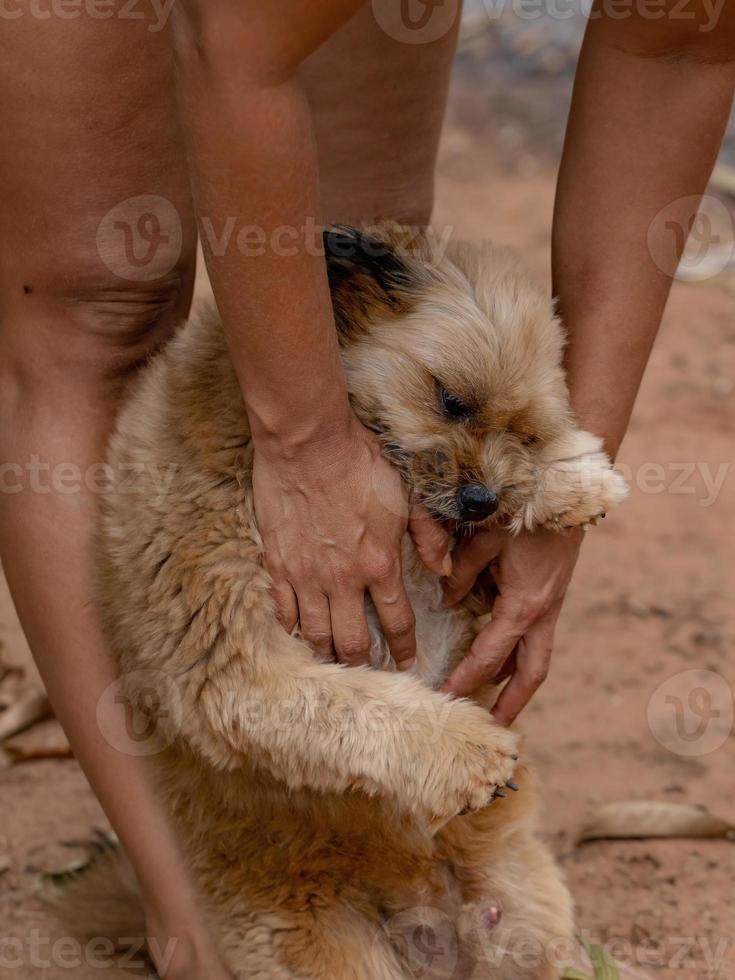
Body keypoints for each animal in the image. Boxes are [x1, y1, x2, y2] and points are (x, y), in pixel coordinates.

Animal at [57, 226, 628, 976]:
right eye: (451, 400)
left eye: (524, 430)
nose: (481, 500)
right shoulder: (232, 670)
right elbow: (364, 705)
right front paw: (470, 751)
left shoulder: (461, 591)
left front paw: (572, 473)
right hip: (333, 950)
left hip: (523, 921)